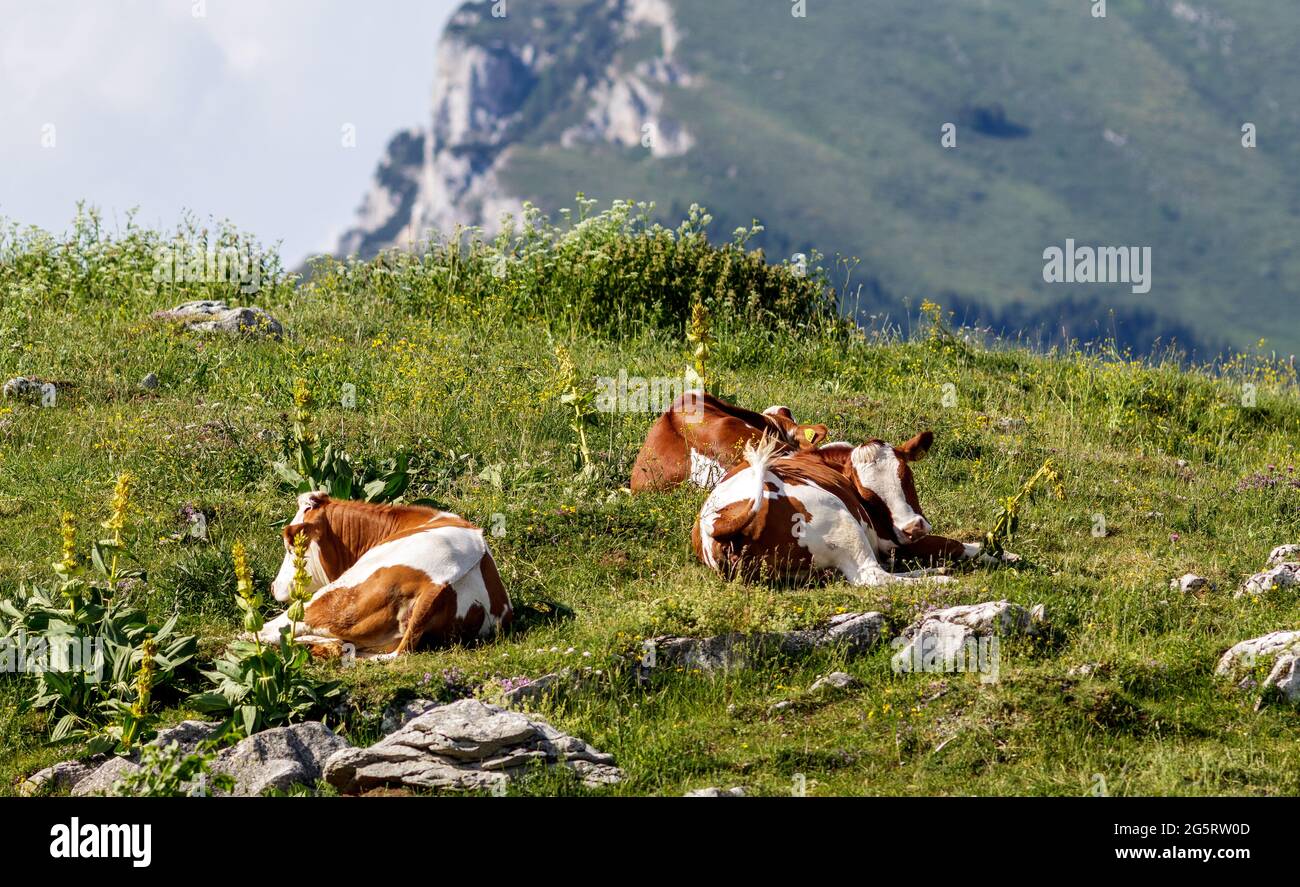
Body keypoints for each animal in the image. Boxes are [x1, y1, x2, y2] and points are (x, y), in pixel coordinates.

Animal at [692, 431, 989, 587]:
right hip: (842, 521)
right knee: (872, 576)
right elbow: (953, 544)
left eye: (907, 476)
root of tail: (718, 525)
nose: (913, 527)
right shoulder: (889, 539)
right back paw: (940, 579)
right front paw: (995, 552)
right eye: (868, 495)